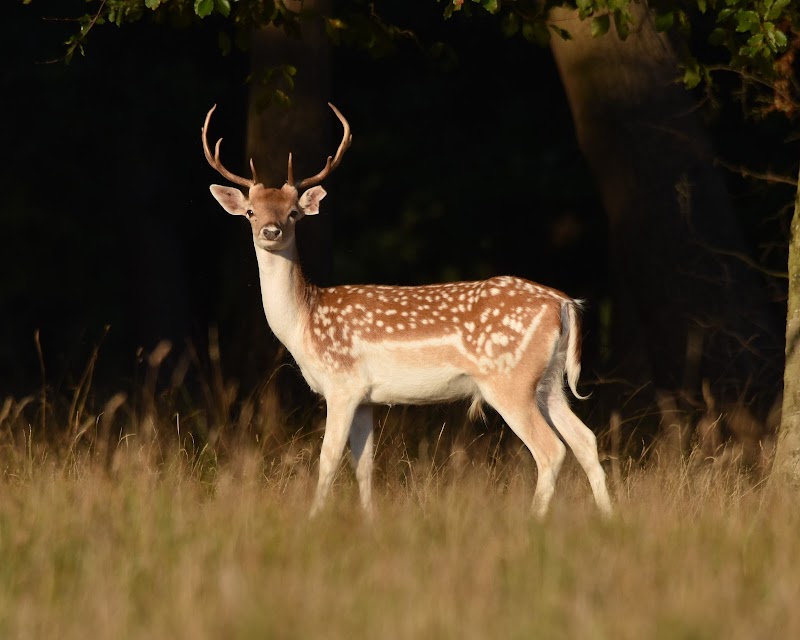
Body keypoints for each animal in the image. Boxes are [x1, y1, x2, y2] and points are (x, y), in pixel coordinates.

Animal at [201, 103, 613, 519]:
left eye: (293, 213)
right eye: (250, 212)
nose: (270, 231)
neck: (304, 322)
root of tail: (564, 304)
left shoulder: (342, 383)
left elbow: (328, 458)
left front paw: (313, 518)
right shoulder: (366, 397)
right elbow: (363, 463)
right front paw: (369, 520)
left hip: (508, 378)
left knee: (551, 449)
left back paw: (535, 519)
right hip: (548, 381)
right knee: (585, 440)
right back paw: (609, 517)